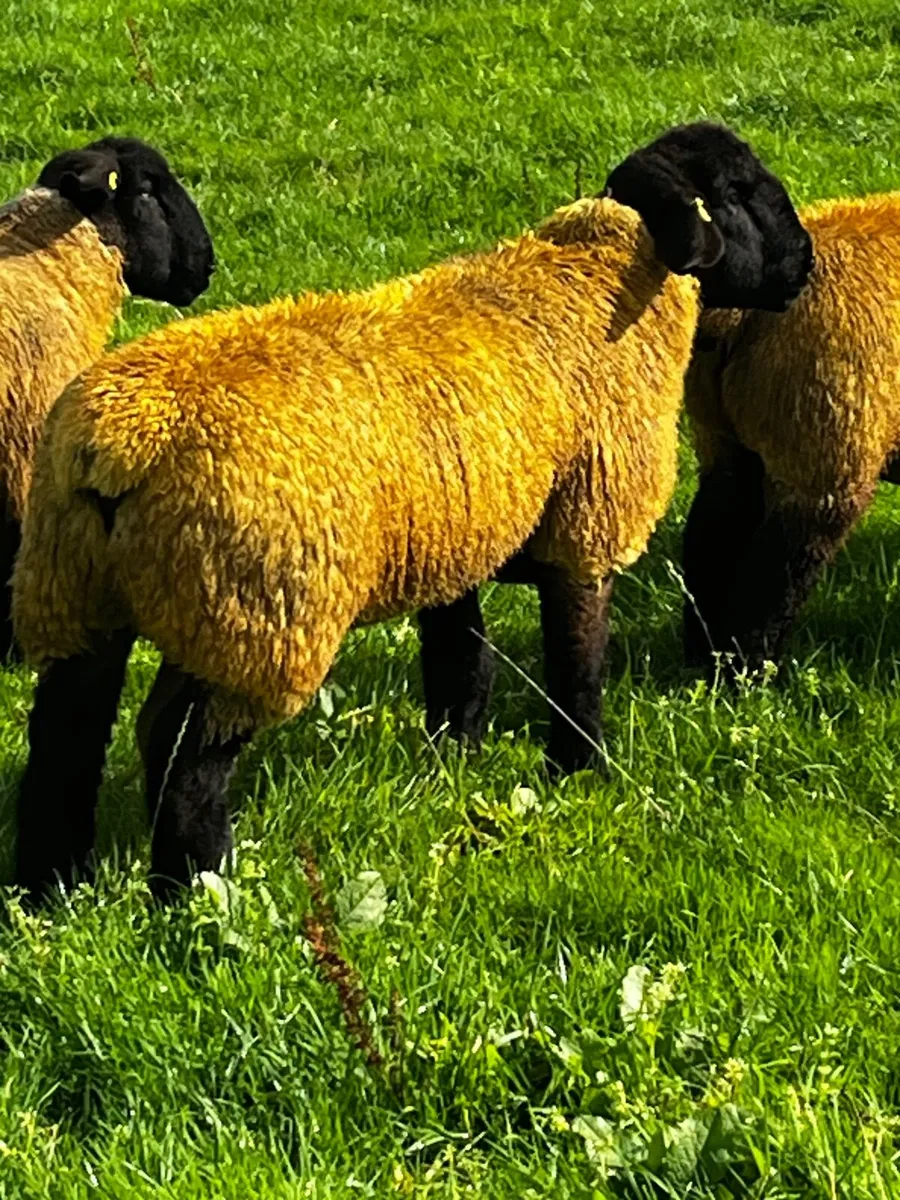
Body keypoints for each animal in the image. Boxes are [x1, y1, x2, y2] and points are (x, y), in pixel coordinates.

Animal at [680, 192, 900, 675]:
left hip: (726, 438)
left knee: (712, 536)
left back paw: (703, 660)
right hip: (823, 449)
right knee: (775, 574)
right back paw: (752, 673)